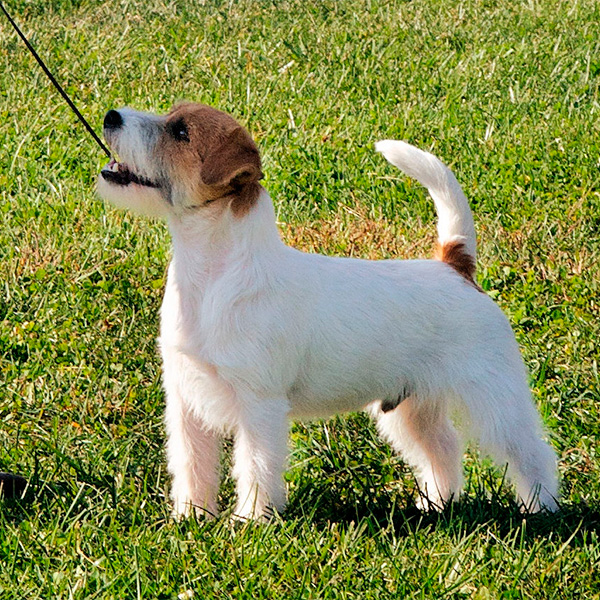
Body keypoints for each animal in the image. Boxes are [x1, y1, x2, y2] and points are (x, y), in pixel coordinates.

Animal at [96, 101, 560, 516]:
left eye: (181, 132)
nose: (111, 116)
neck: (212, 277)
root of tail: (456, 265)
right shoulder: (186, 403)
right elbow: (192, 467)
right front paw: (191, 517)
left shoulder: (258, 406)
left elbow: (255, 467)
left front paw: (249, 523)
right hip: (412, 406)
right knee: (443, 448)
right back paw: (435, 505)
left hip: (493, 396)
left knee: (530, 451)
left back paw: (541, 510)